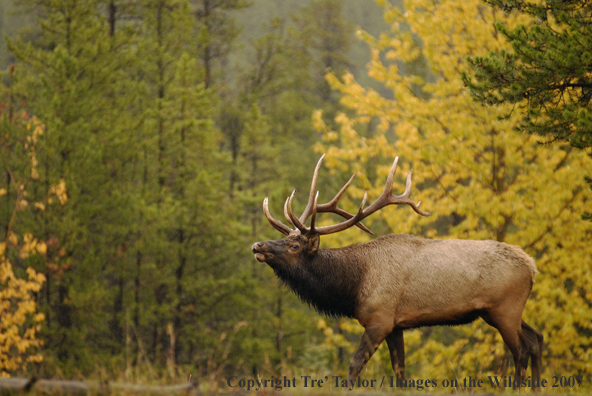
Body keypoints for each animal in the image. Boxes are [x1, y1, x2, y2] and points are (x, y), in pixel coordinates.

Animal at [252, 155, 544, 390]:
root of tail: (532, 266)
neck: (354, 286)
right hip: (500, 312)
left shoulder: (379, 318)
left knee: (520, 351)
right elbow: (400, 371)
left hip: (504, 308)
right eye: (286, 238)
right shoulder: (395, 325)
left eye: (294, 245)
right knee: (536, 339)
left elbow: (355, 365)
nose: (258, 245)